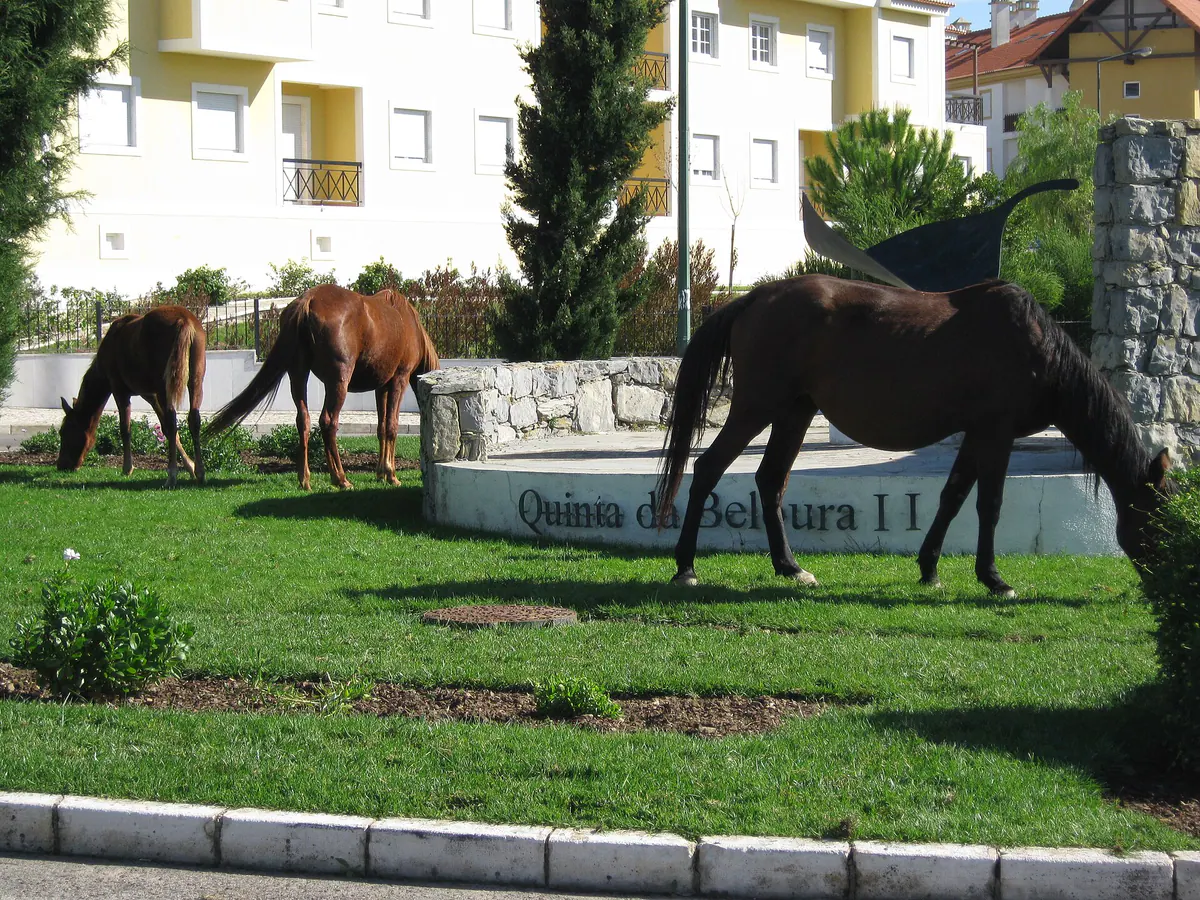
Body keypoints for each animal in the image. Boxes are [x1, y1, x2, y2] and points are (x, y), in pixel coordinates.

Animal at [57, 305, 207, 487]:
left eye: (64, 431)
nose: (61, 465)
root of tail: (183, 321)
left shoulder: (119, 389)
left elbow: (125, 428)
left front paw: (127, 468)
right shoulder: (150, 394)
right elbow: (165, 429)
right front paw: (190, 466)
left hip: (165, 386)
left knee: (173, 421)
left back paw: (171, 476)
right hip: (195, 379)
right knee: (193, 419)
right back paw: (200, 472)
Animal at [205, 285, 440, 490]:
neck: (407, 322)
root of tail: (307, 301)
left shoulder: (381, 386)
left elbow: (381, 428)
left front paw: (381, 473)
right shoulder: (399, 379)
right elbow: (391, 426)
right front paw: (391, 475)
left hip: (298, 375)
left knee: (303, 421)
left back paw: (305, 479)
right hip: (338, 381)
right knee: (328, 422)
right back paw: (340, 478)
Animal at [655, 275, 1174, 596]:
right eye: (1159, 522)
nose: (1163, 582)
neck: (1034, 348)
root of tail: (755, 297)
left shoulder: (976, 434)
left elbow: (953, 495)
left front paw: (930, 569)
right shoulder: (996, 433)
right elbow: (989, 503)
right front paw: (994, 578)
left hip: (794, 412)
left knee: (770, 480)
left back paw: (789, 566)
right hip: (756, 407)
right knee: (707, 468)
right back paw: (685, 567)